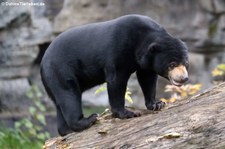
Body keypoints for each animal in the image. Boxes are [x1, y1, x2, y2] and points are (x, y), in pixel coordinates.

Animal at [40, 14, 188, 136]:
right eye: (172, 64)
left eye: (186, 63)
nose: (183, 78)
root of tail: (42, 63)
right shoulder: (118, 50)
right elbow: (116, 80)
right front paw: (128, 113)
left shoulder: (146, 62)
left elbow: (147, 78)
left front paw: (157, 104)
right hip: (59, 71)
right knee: (69, 96)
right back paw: (89, 119)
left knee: (60, 103)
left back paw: (66, 130)